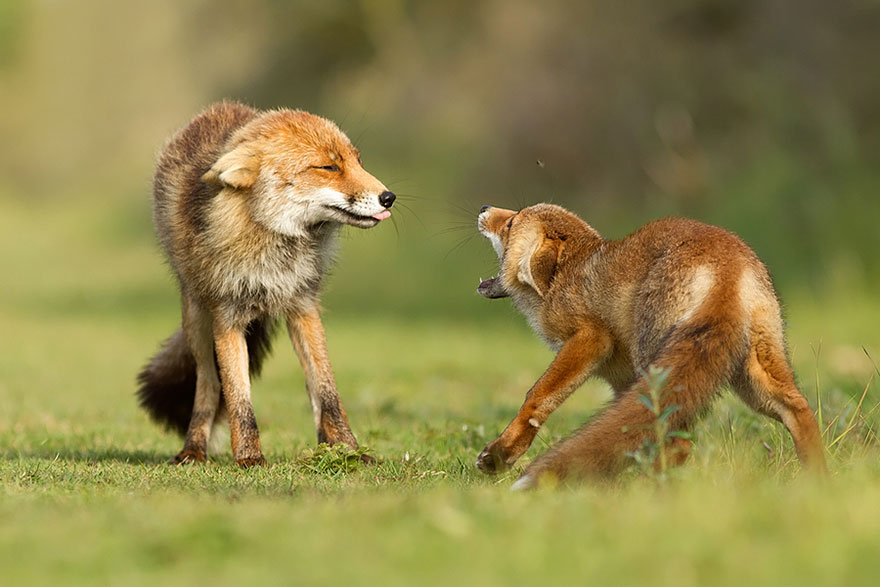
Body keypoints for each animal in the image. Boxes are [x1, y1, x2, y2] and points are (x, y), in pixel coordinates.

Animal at [138, 102, 396, 468]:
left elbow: (327, 392)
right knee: (208, 384)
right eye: (328, 166)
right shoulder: (227, 319)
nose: (389, 197)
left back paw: (324, 444)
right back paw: (194, 449)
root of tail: (221, 107)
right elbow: (238, 398)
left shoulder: (304, 306)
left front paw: (348, 450)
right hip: (197, 322)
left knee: (311, 390)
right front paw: (249, 456)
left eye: (358, 161)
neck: (271, 248)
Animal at [474, 204, 824, 490]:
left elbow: (537, 396)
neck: (562, 279)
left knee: (676, 439)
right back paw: (819, 481)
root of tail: (726, 261)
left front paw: (501, 452)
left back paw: (651, 494)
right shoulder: (625, 385)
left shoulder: (591, 338)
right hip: (750, 374)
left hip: (661, 366)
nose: (484, 208)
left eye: (511, 222)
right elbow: (625, 433)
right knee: (797, 407)